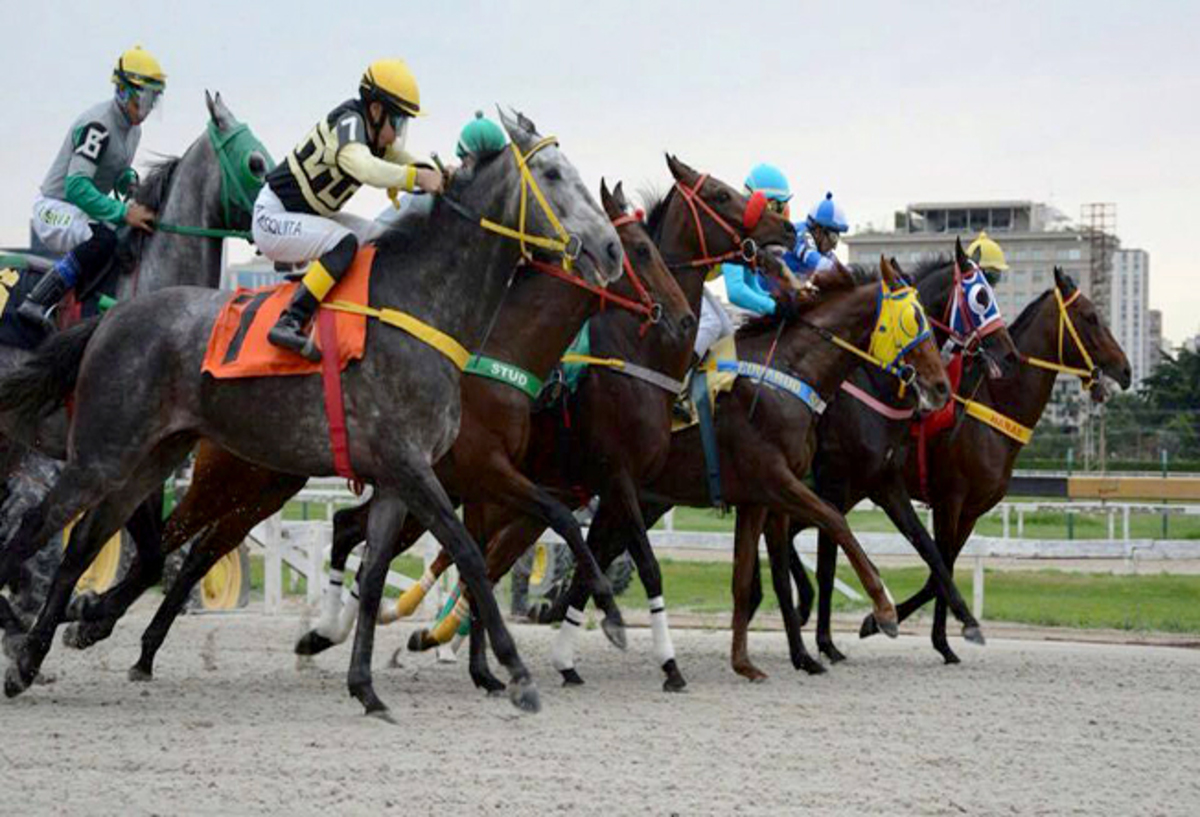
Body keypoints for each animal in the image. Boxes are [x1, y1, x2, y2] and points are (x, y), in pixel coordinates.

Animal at [849, 267, 1128, 662]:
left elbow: (941, 572)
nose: (1127, 369)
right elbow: (940, 567)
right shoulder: (949, 501)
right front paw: (927, 634)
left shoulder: (971, 511)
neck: (994, 402)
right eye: (1090, 316)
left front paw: (928, 635)